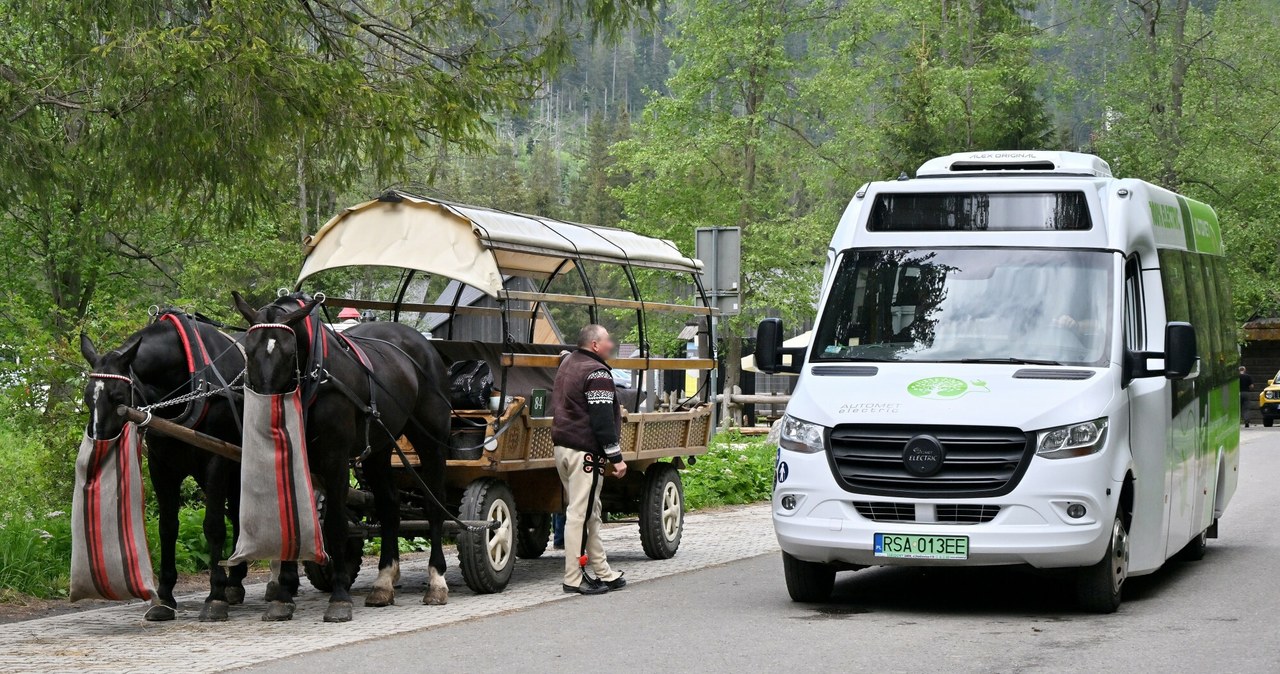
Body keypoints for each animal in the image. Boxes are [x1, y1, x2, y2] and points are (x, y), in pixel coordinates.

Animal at [80, 310, 252, 621]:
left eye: (119, 397)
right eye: (88, 397)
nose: (98, 446)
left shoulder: (217, 460)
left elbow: (213, 526)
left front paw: (215, 596)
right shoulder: (162, 466)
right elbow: (168, 527)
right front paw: (164, 597)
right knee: (238, 512)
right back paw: (236, 581)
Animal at [232, 290, 453, 621]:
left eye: (288, 352)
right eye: (248, 350)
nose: (266, 410)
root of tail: (422, 345)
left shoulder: (335, 460)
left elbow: (336, 524)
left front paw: (338, 597)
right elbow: (293, 524)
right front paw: (282, 597)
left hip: (431, 442)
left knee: (434, 504)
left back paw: (436, 581)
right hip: (378, 449)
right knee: (389, 505)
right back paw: (383, 582)